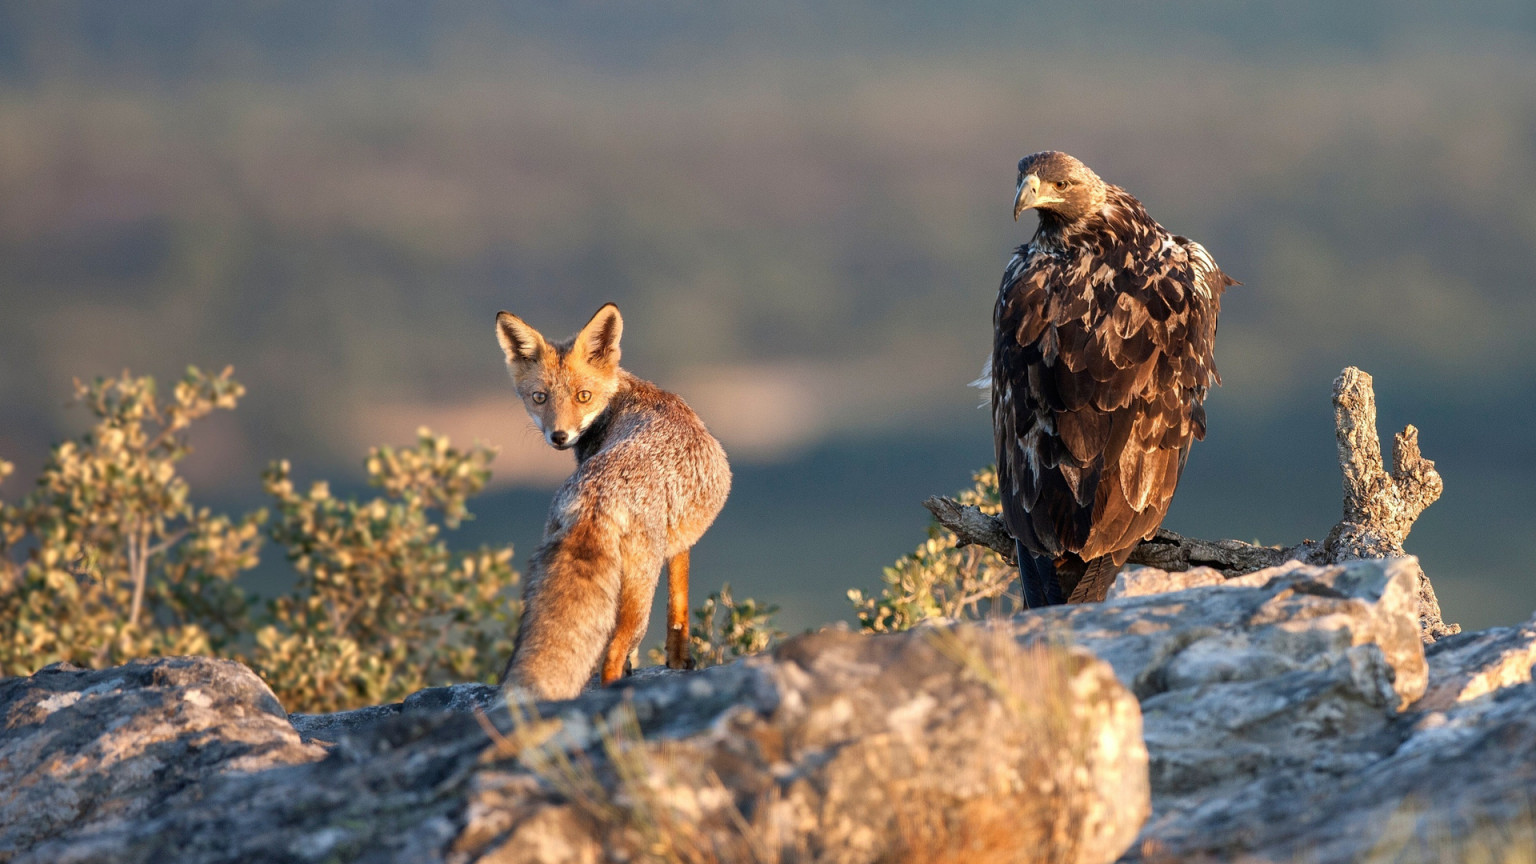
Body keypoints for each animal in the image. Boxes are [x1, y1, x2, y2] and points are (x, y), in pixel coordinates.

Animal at [491, 299, 731, 694]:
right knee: (614, 654)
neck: (621, 397)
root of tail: (596, 500)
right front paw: (679, 662)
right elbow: (678, 607)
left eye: (582, 396)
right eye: (540, 398)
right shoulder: (679, 546)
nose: (559, 436)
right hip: (639, 594)